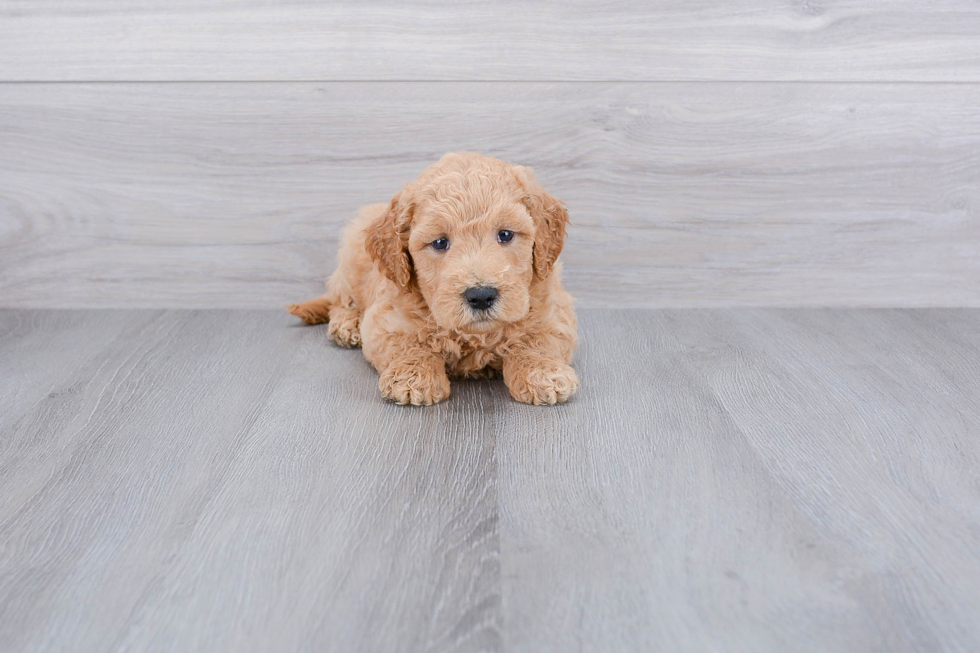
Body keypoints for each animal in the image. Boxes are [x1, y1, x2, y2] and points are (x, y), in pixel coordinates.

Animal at [288, 154, 580, 408]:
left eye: (506, 234)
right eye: (440, 243)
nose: (481, 296)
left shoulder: (554, 311)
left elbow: (536, 341)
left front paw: (544, 374)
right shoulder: (386, 319)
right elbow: (408, 345)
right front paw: (413, 378)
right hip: (350, 261)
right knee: (340, 298)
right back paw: (346, 325)